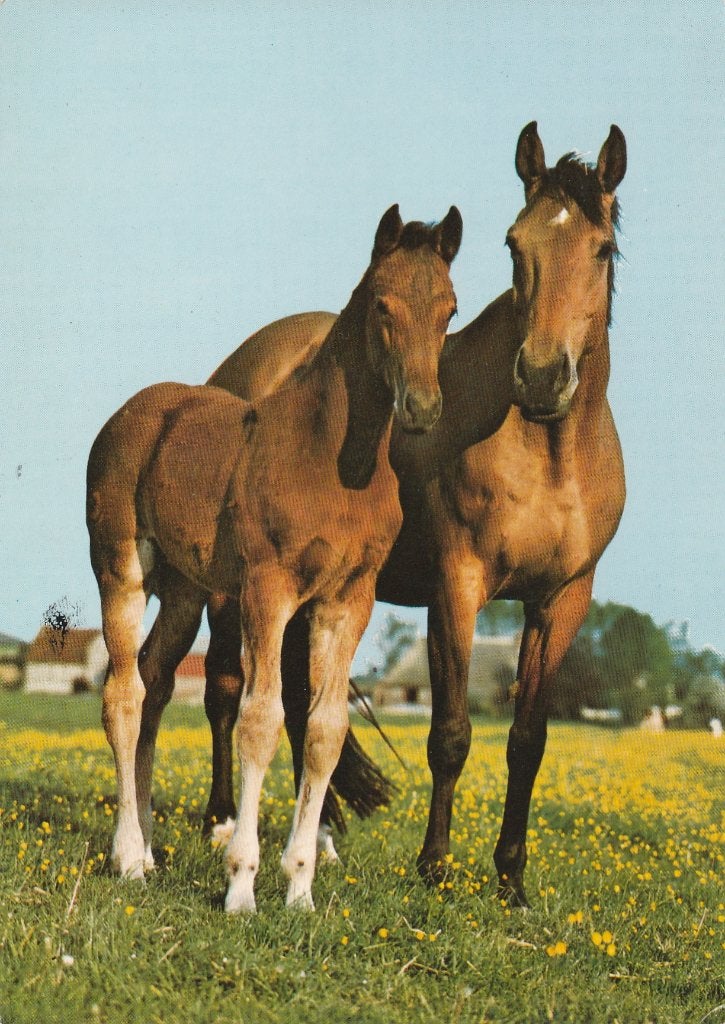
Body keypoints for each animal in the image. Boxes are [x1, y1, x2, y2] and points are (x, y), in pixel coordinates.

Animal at [86, 203, 462, 912]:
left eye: (451, 309)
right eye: (382, 303)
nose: (423, 408)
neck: (334, 461)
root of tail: (134, 411)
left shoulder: (347, 599)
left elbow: (323, 730)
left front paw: (301, 889)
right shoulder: (269, 589)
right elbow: (261, 719)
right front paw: (241, 886)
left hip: (185, 592)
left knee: (154, 683)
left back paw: (147, 851)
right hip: (121, 567)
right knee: (123, 692)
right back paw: (125, 858)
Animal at [199, 122, 627, 909]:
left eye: (601, 248)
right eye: (514, 244)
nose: (541, 377)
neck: (549, 451)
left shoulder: (562, 600)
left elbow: (527, 740)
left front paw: (511, 880)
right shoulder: (456, 587)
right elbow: (450, 733)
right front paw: (435, 868)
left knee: (301, 705)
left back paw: (321, 838)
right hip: (232, 588)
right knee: (223, 689)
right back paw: (221, 823)